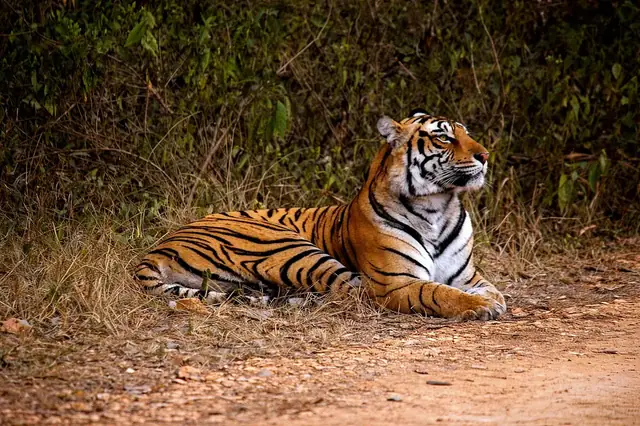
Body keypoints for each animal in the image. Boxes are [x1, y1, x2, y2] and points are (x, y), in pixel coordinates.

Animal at [135, 109, 507, 320]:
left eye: (467, 133)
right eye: (444, 137)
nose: (486, 155)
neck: (437, 207)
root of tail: (161, 245)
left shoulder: (468, 277)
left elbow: (490, 289)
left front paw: (493, 301)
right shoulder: (396, 282)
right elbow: (437, 291)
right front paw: (479, 308)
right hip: (290, 247)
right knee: (351, 291)